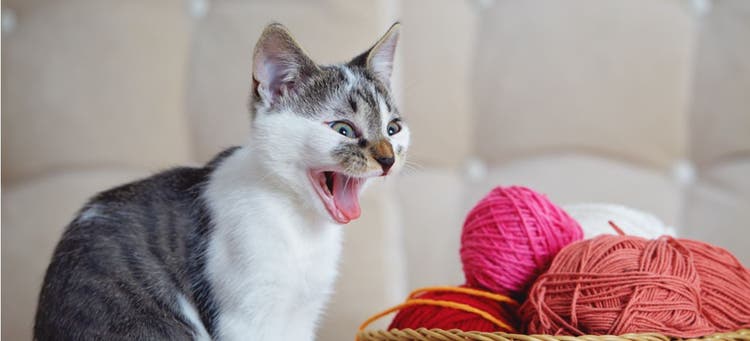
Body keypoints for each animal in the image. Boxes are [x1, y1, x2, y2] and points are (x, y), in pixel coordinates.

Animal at [33, 22, 412, 338]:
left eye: (393, 128)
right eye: (343, 129)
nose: (387, 159)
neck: (300, 226)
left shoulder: (301, 317)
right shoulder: (244, 318)